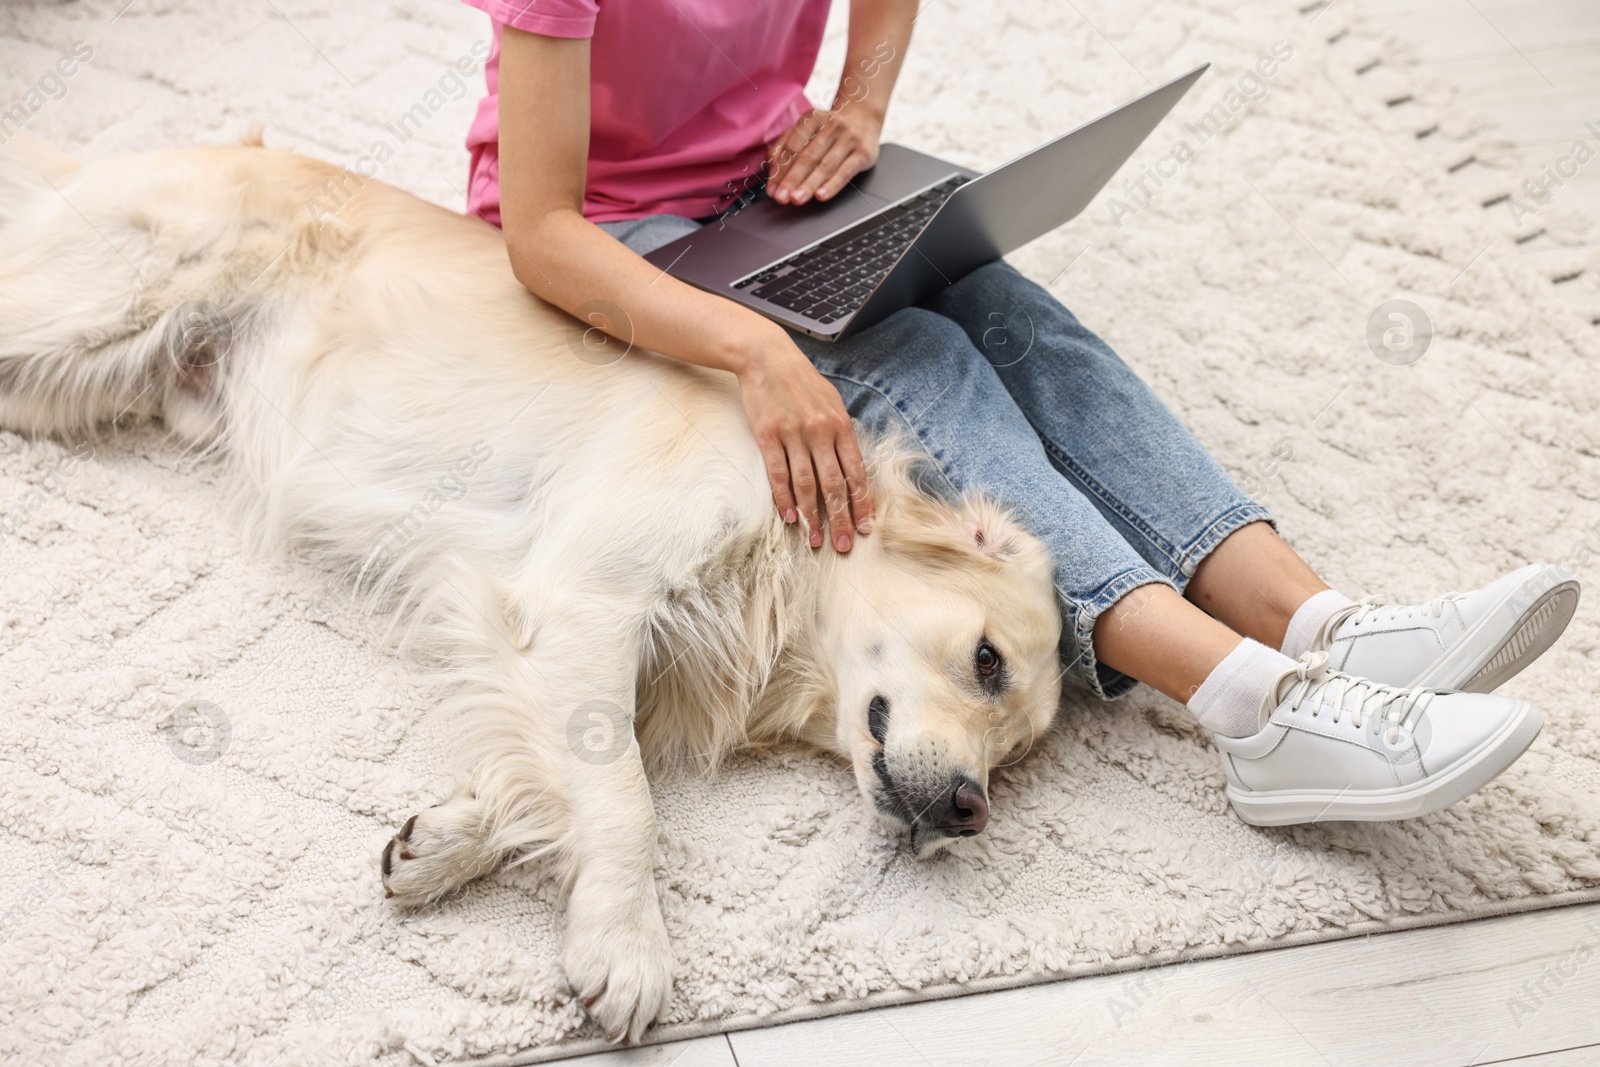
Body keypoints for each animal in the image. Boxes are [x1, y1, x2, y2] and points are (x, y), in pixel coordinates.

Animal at [6, 133, 1068, 1043]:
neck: (784, 546)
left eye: (1014, 757)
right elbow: (625, 796)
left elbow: (550, 773)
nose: (971, 810)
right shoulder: (584, 601)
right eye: (986, 661)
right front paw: (626, 944)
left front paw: (445, 842)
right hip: (84, 312)